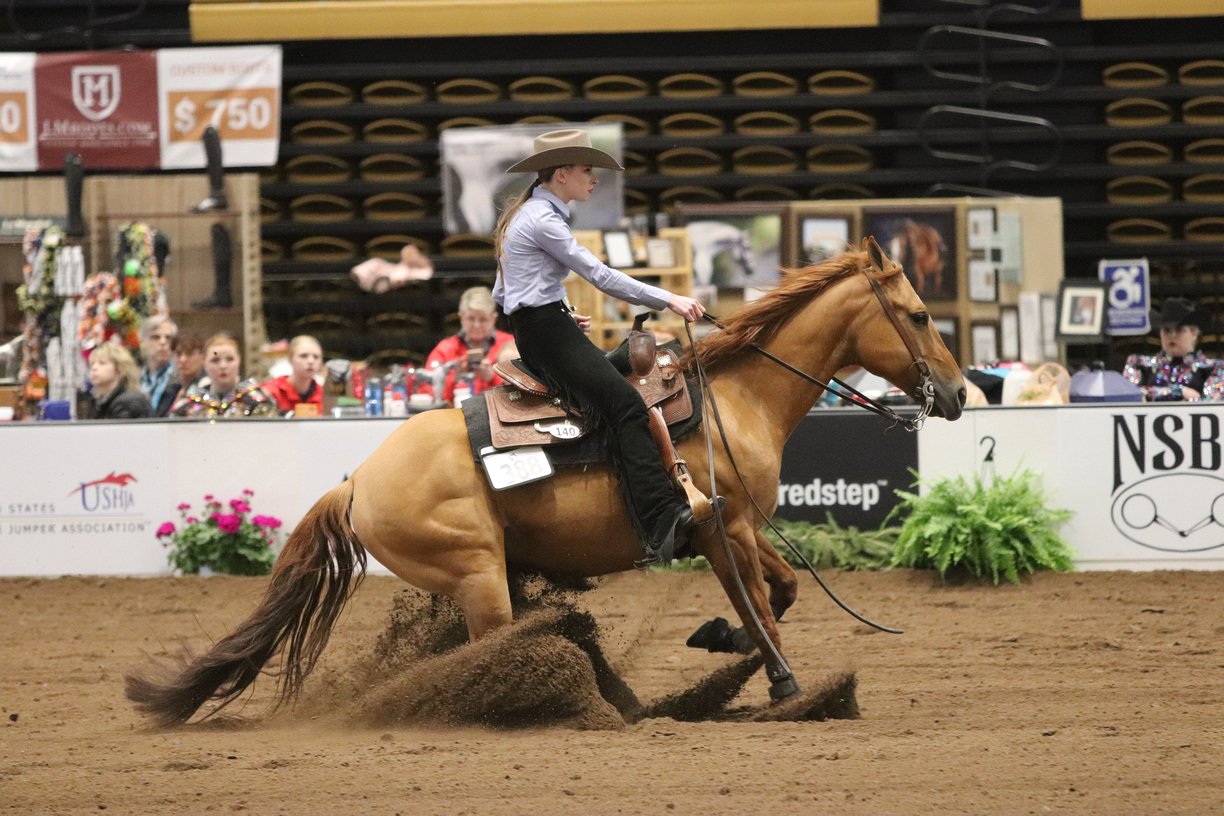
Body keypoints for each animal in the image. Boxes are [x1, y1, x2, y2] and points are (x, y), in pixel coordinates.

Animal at [124, 237, 964, 729]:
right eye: (920, 315)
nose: (958, 394)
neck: (738, 399)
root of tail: (356, 482)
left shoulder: (742, 528)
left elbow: (779, 596)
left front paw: (718, 640)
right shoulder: (719, 529)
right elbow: (764, 615)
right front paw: (793, 692)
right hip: (476, 574)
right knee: (485, 657)